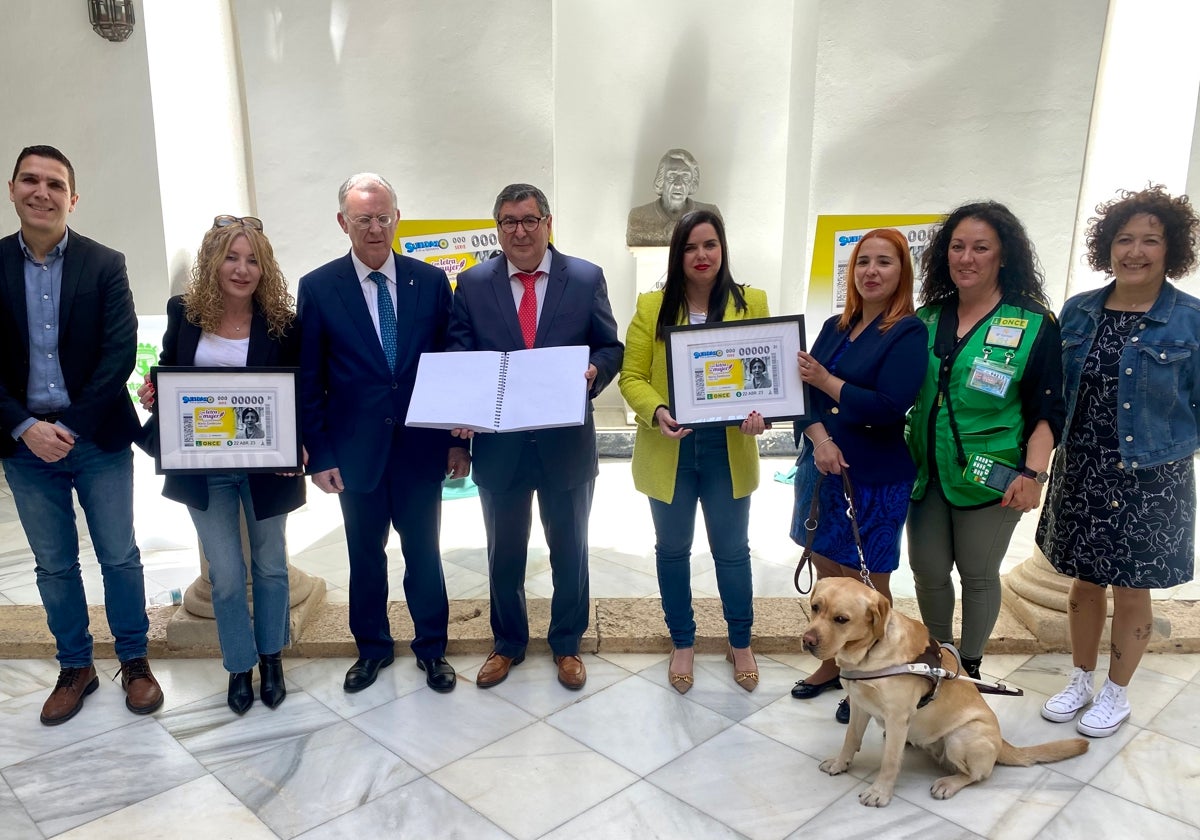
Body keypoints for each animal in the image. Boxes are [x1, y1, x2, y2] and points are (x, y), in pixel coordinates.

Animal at [806, 578, 1089, 806]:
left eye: (841, 619)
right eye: (815, 607)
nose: (807, 641)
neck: (868, 653)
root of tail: (1002, 743)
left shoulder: (897, 717)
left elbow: (889, 762)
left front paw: (880, 793)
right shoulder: (859, 705)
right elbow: (850, 739)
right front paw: (840, 764)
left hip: (960, 737)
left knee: (977, 775)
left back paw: (948, 784)